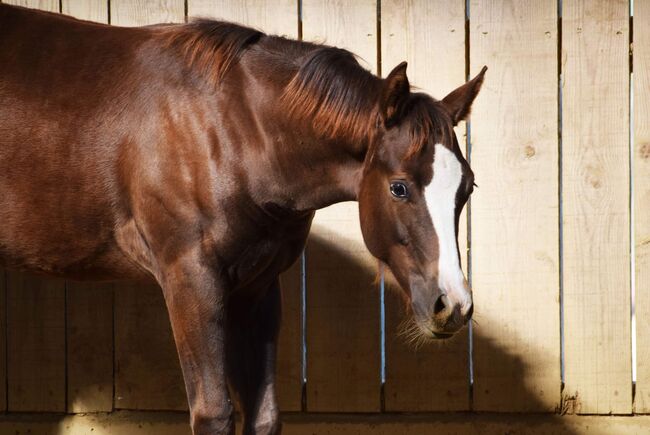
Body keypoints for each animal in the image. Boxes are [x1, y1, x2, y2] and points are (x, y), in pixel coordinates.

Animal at [0, 4, 484, 435]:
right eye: (399, 188)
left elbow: (263, 416)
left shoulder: (257, 287)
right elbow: (214, 414)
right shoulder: (191, 281)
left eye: (468, 188)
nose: (453, 306)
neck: (233, 130)